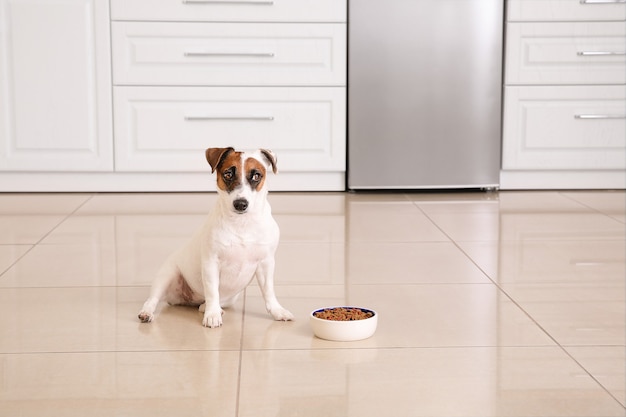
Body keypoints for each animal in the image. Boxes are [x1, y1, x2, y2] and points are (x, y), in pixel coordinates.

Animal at [138, 148, 294, 326]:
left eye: (256, 176)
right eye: (228, 174)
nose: (240, 204)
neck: (242, 223)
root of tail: (190, 299)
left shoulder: (266, 263)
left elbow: (268, 291)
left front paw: (277, 311)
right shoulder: (211, 263)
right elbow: (212, 291)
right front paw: (212, 315)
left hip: (230, 298)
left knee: (207, 304)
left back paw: (210, 308)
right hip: (166, 275)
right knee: (153, 299)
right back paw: (147, 312)